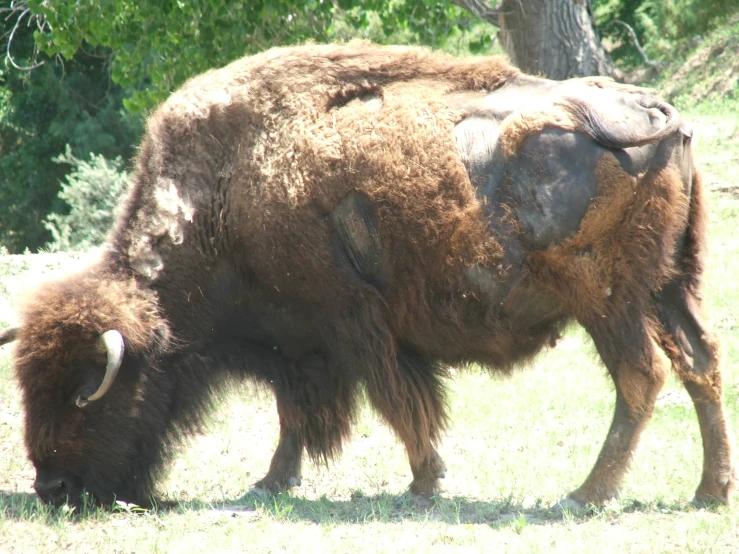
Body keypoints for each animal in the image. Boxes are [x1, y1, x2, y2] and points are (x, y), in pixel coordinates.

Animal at [0, 42, 736, 508]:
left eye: (89, 391)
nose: (55, 490)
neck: (223, 194)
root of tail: (659, 115)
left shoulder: (350, 326)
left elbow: (395, 403)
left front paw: (425, 482)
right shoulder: (296, 344)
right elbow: (294, 414)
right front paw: (272, 482)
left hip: (608, 302)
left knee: (641, 376)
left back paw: (584, 496)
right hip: (671, 287)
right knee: (700, 364)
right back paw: (707, 491)